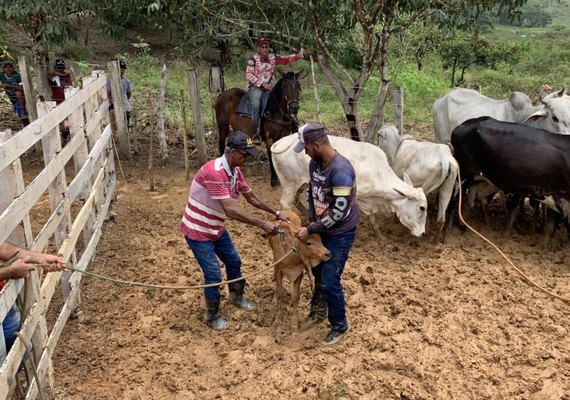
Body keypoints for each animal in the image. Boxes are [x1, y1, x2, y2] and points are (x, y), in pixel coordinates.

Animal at [270, 134, 426, 238]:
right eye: (422, 208)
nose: (422, 232)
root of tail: (281, 142)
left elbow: (371, 217)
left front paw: (380, 236)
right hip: (290, 184)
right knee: (286, 203)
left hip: (300, 184)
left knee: (296, 200)